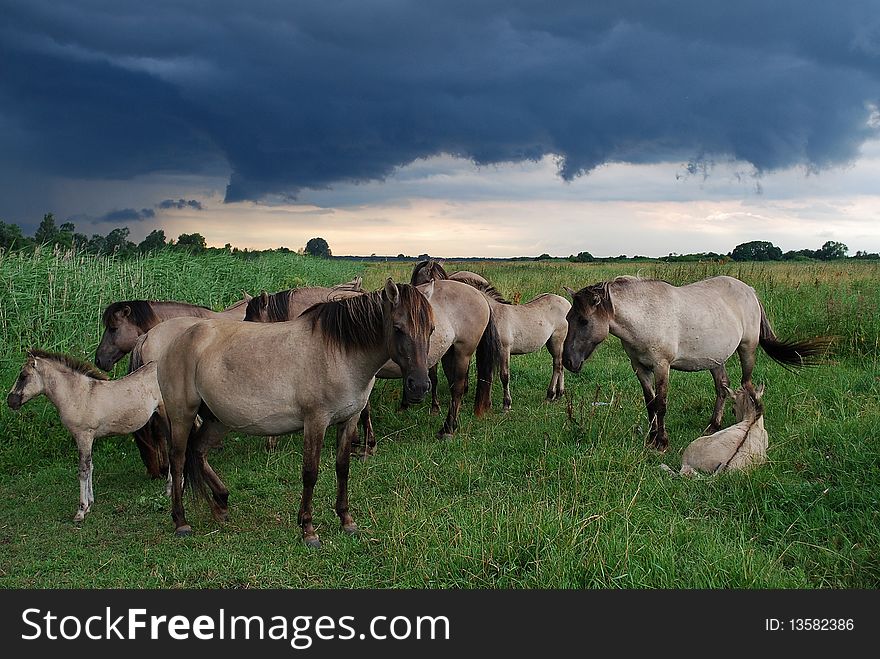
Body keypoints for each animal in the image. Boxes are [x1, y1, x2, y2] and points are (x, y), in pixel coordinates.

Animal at [5, 348, 162, 524]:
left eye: (23, 375)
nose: (10, 401)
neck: (78, 394)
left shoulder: (83, 436)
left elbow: (83, 470)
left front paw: (81, 510)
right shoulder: (87, 438)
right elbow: (91, 465)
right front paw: (90, 503)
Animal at [156, 280, 434, 548]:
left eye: (430, 329)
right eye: (398, 328)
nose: (419, 386)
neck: (338, 353)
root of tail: (176, 340)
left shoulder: (349, 420)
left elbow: (343, 468)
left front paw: (346, 520)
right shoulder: (316, 421)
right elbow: (310, 473)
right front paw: (308, 530)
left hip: (217, 419)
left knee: (198, 451)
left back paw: (221, 503)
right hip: (182, 415)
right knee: (179, 460)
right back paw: (181, 521)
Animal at [412, 260, 572, 410]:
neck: (494, 314)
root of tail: (567, 303)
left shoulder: (504, 350)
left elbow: (504, 376)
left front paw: (506, 404)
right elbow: (488, 375)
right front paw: (487, 404)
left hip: (557, 340)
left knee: (557, 365)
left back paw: (550, 395)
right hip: (553, 342)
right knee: (560, 365)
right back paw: (559, 394)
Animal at [564, 274, 832, 454]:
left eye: (584, 320)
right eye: (568, 317)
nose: (568, 361)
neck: (647, 315)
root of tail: (749, 290)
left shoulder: (662, 367)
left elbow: (661, 405)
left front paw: (662, 442)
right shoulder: (640, 368)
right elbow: (650, 404)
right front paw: (651, 438)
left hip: (747, 349)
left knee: (747, 384)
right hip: (716, 359)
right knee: (723, 387)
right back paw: (713, 425)